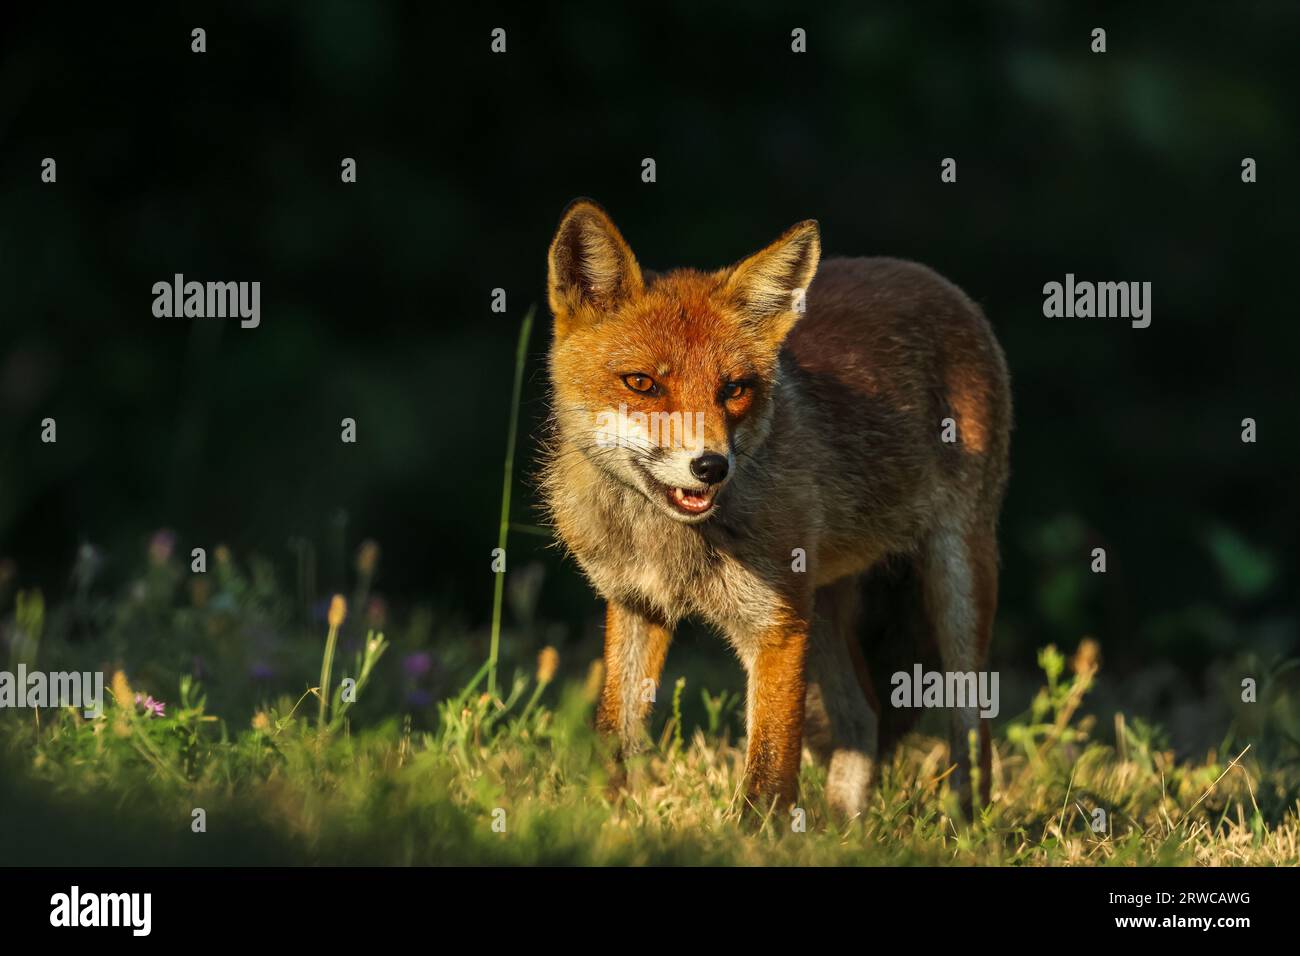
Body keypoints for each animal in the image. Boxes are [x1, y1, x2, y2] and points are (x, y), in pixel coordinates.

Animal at [543, 197, 1008, 816]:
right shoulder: (637, 603)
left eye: (734, 389)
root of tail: (925, 275)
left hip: (955, 582)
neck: (667, 538)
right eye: (641, 383)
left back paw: (965, 821)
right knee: (863, 715)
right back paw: (842, 826)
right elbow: (613, 735)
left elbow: (767, 773)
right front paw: (603, 819)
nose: (711, 466)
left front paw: (753, 834)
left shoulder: (777, 625)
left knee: (972, 725)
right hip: (827, 600)